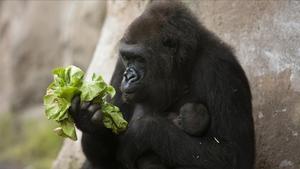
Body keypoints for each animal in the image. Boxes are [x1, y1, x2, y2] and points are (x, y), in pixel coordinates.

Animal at [69, 1, 254, 169]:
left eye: (140, 59)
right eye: (127, 57)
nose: (128, 77)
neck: (182, 68)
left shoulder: (220, 67)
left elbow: (232, 155)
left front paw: (141, 132)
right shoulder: (120, 65)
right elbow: (103, 156)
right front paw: (88, 118)